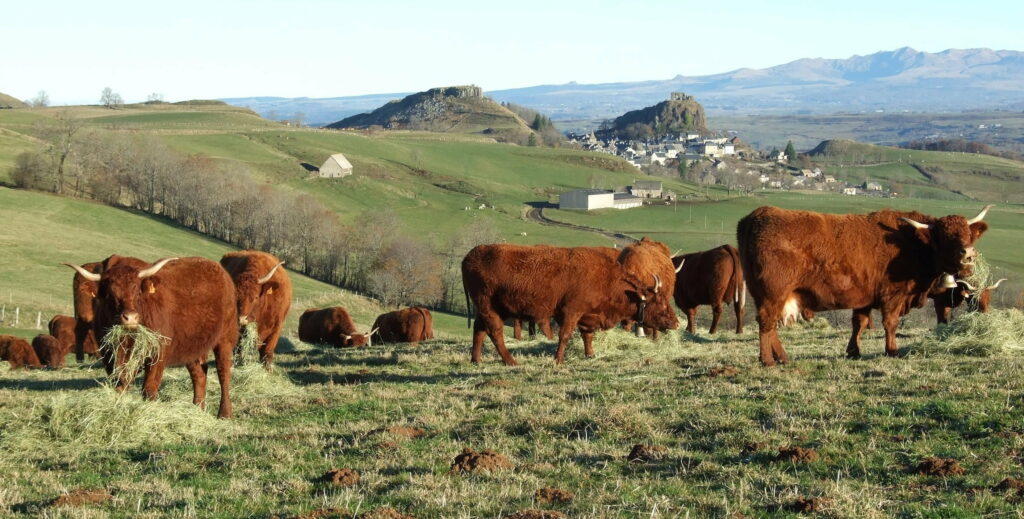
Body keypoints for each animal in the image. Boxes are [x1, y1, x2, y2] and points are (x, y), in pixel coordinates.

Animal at [66, 257, 238, 418]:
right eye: (109, 294)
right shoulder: (110, 357)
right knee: (199, 375)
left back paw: (225, 414)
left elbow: (149, 389)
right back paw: (197, 410)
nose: (130, 318)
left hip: (224, 339)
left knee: (223, 373)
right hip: (192, 347)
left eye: (137, 291)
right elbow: (120, 386)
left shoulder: (158, 355)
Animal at [462, 242, 664, 365]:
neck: (605, 278)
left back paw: (476, 359)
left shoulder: (584, 315)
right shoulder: (571, 312)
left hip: (487, 309)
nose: (672, 322)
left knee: (479, 330)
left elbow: (587, 335)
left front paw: (590, 354)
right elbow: (565, 336)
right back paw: (510, 361)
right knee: (494, 332)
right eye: (658, 303)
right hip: (490, 308)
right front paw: (558, 360)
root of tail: (469, 256)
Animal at [737, 205, 991, 366]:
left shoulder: (863, 298)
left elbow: (858, 324)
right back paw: (768, 360)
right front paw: (892, 350)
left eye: (968, 234)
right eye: (945, 237)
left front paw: (854, 352)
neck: (912, 243)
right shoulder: (893, 295)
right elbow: (890, 323)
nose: (968, 254)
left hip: (764, 294)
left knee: (769, 324)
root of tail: (758, 214)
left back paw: (782, 357)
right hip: (773, 292)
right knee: (766, 322)